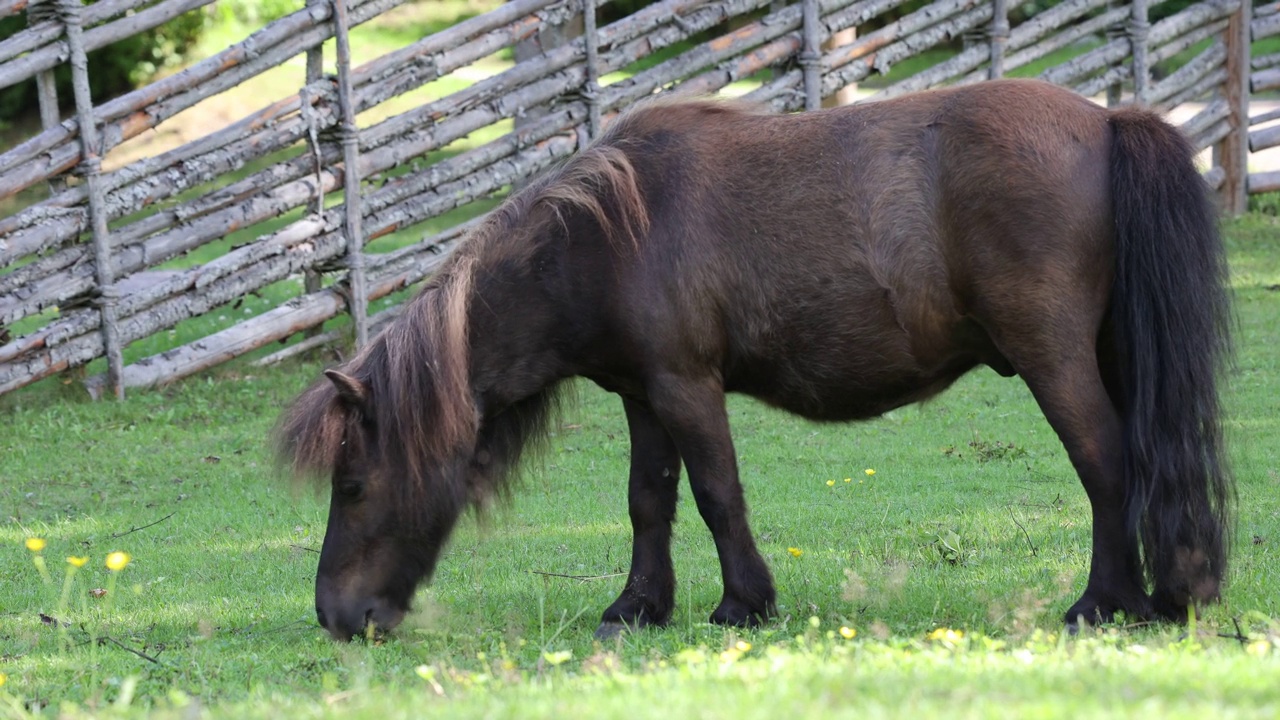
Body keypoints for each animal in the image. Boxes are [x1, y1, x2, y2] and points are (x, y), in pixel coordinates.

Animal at [277, 78, 1228, 638]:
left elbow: (715, 494)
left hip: (1052, 358)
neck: (601, 236)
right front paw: (638, 607)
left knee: (1107, 465)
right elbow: (648, 501)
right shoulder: (641, 395)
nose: (335, 616)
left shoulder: (686, 388)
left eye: (353, 485)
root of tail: (1107, 120)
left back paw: (1104, 603)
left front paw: (744, 603)